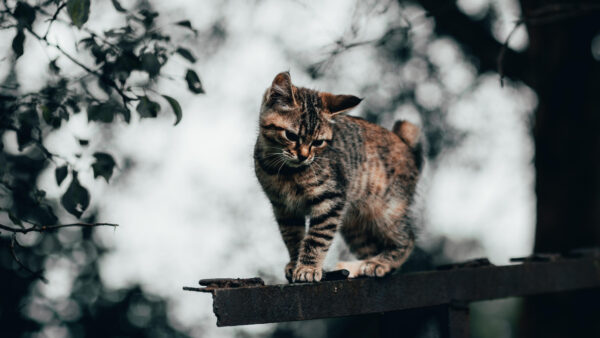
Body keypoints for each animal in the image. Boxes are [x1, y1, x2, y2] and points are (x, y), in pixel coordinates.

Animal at [253, 71, 422, 282]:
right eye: (291, 136)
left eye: (318, 142)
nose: (304, 156)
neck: (286, 172)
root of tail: (402, 141)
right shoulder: (283, 207)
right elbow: (292, 237)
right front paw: (295, 263)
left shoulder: (330, 199)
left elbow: (316, 238)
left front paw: (308, 268)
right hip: (355, 226)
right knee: (371, 248)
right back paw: (358, 267)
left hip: (388, 209)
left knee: (407, 239)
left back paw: (379, 263)